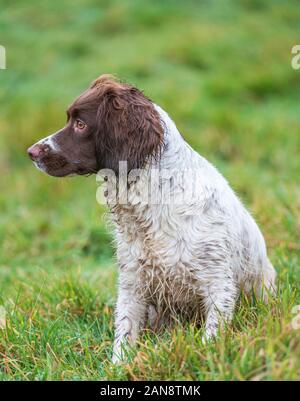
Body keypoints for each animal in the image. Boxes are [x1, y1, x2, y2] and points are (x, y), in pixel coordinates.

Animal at [28, 73, 276, 360]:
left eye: (80, 124)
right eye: (70, 119)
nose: (31, 152)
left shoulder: (217, 282)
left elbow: (212, 336)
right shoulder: (133, 281)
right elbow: (124, 335)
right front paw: (119, 366)